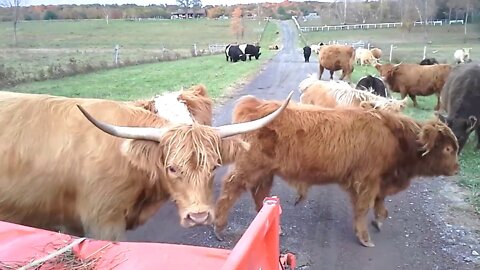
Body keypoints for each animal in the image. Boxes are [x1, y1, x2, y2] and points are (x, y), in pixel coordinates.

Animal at [215, 95, 462, 247]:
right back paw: (219, 227)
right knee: (231, 188)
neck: (394, 138)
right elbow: (363, 208)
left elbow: (379, 204)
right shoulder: (366, 180)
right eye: (448, 148)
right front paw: (365, 238)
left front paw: (379, 220)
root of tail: (255, 104)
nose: (457, 169)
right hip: (249, 166)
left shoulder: (377, 181)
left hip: (265, 172)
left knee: (260, 195)